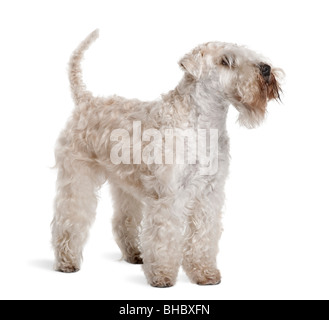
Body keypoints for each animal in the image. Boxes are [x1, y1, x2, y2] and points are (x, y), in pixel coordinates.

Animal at [52, 30, 282, 288]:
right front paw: (162, 275)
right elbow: (164, 237)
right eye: (226, 61)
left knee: (123, 221)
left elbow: (204, 236)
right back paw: (67, 262)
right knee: (69, 218)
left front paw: (205, 273)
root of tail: (85, 100)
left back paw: (134, 254)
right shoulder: (167, 195)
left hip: (125, 186)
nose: (266, 69)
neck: (203, 125)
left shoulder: (209, 193)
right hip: (77, 178)